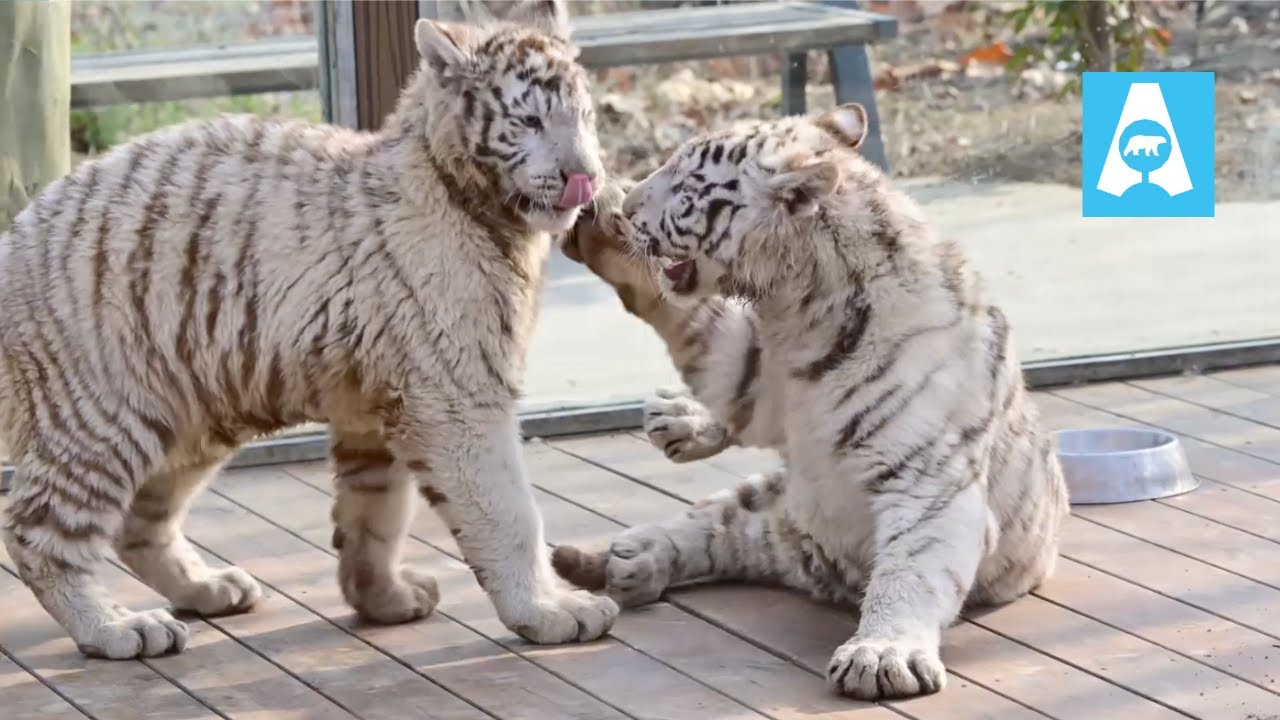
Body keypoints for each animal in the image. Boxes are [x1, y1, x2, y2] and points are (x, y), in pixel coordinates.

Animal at [0, 0, 620, 660]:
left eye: (583, 117)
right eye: (529, 121)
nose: (585, 175)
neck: (475, 202)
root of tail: (12, 236)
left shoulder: (376, 405)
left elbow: (375, 516)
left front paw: (384, 598)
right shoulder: (457, 394)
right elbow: (509, 511)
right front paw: (552, 611)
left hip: (188, 416)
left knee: (139, 521)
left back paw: (210, 588)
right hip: (99, 417)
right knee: (38, 533)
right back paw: (118, 628)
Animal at [550, 103, 1070, 701]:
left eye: (685, 186)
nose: (631, 204)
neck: (799, 310)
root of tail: (801, 551)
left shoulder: (927, 483)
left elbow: (910, 573)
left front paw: (881, 655)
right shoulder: (756, 377)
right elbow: (703, 330)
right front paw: (606, 229)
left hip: (783, 519)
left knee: (722, 536)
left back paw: (629, 564)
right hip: (771, 494)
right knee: (703, 522)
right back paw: (624, 548)